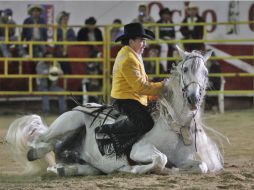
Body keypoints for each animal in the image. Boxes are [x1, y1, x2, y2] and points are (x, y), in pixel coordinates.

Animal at [5, 45, 223, 175]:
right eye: (185, 69)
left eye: (206, 72)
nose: (194, 98)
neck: (175, 125)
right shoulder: (139, 149)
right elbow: (160, 159)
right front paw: (133, 169)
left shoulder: (186, 159)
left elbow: (202, 166)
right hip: (68, 123)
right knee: (39, 141)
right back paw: (39, 152)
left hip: (82, 157)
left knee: (61, 153)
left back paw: (64, 168)